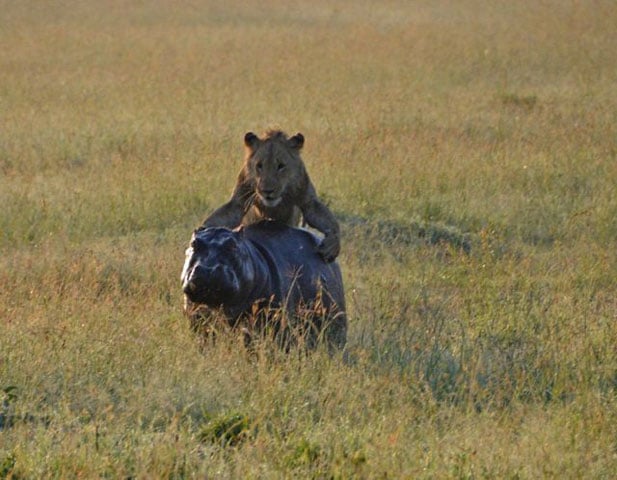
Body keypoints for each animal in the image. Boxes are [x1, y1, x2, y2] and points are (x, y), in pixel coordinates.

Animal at [200, 129, 340, 260]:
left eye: (281, 166)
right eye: (259, 166)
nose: (267, 191)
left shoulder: (307, 199)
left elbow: (330, 221)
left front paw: (332, 246)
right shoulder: (238, 202)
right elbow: (219, 218)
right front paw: (203, 234)